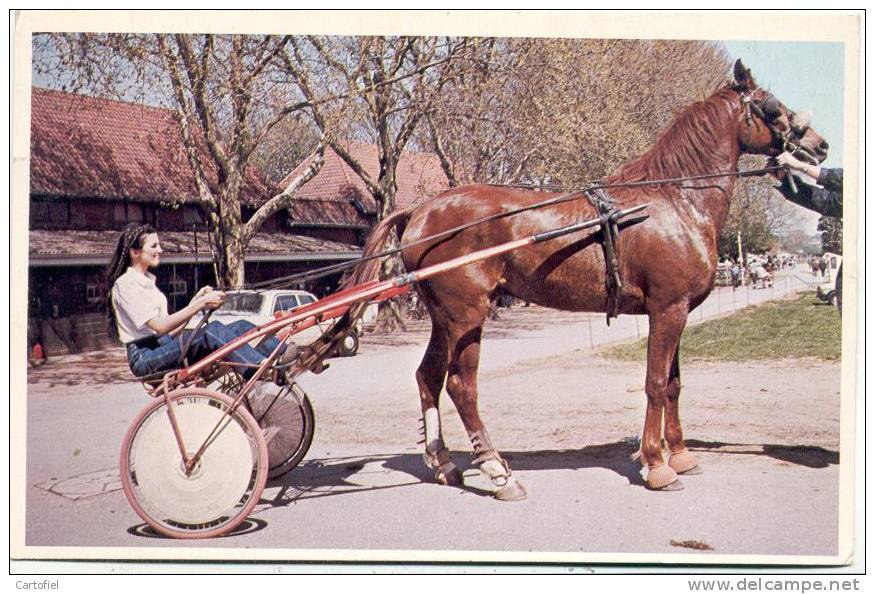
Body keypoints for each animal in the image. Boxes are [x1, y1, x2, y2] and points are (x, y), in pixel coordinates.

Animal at [350, 59, 828, 494]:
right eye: (772, 107)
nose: (819, 146)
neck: (674, 199)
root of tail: (421, 210)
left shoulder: (677, 312)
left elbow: (673, 384)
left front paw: (680, 454)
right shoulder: (667, 310)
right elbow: (655, 383)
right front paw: (657, 465)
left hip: (444, 319)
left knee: (428, 377)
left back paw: (445, 464)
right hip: (467, 316)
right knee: (460, 386)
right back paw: (497, 472)